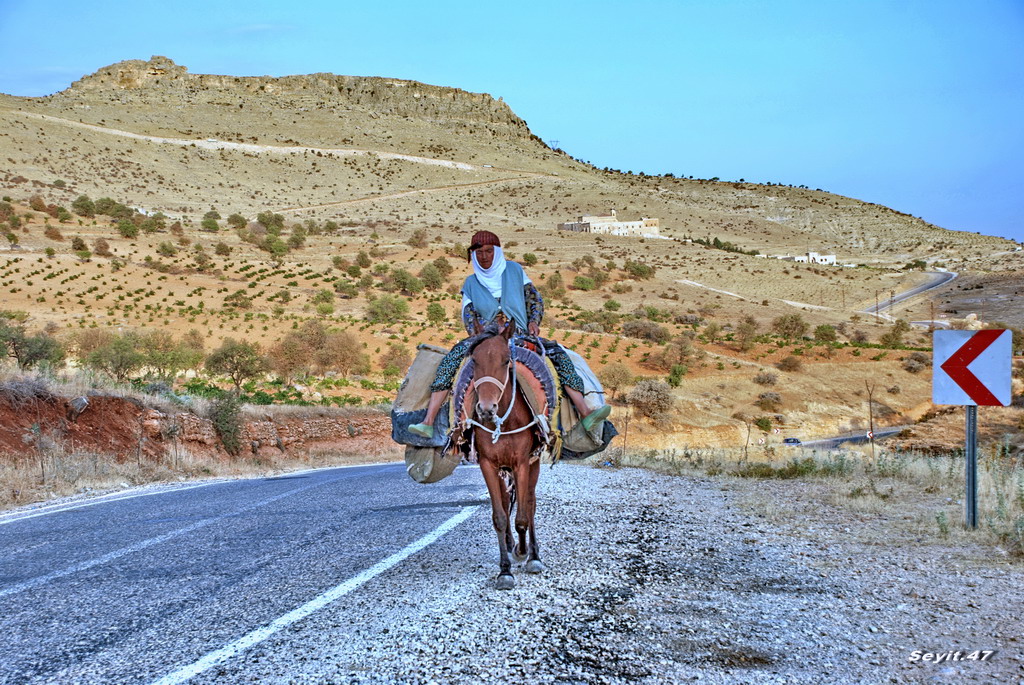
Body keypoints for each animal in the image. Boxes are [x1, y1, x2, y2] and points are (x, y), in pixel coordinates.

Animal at [468, 321, 548, 589]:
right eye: (474, 360)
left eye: (505, 361)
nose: (486, 409)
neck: (503, 423)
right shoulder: (488, 466)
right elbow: (500, 517)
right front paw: (504, 571)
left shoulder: (522, 463)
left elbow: (522, 516)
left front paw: (524, 554)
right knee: (506, 502)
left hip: (532, 466)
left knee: (530, 504)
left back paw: (532, 554)